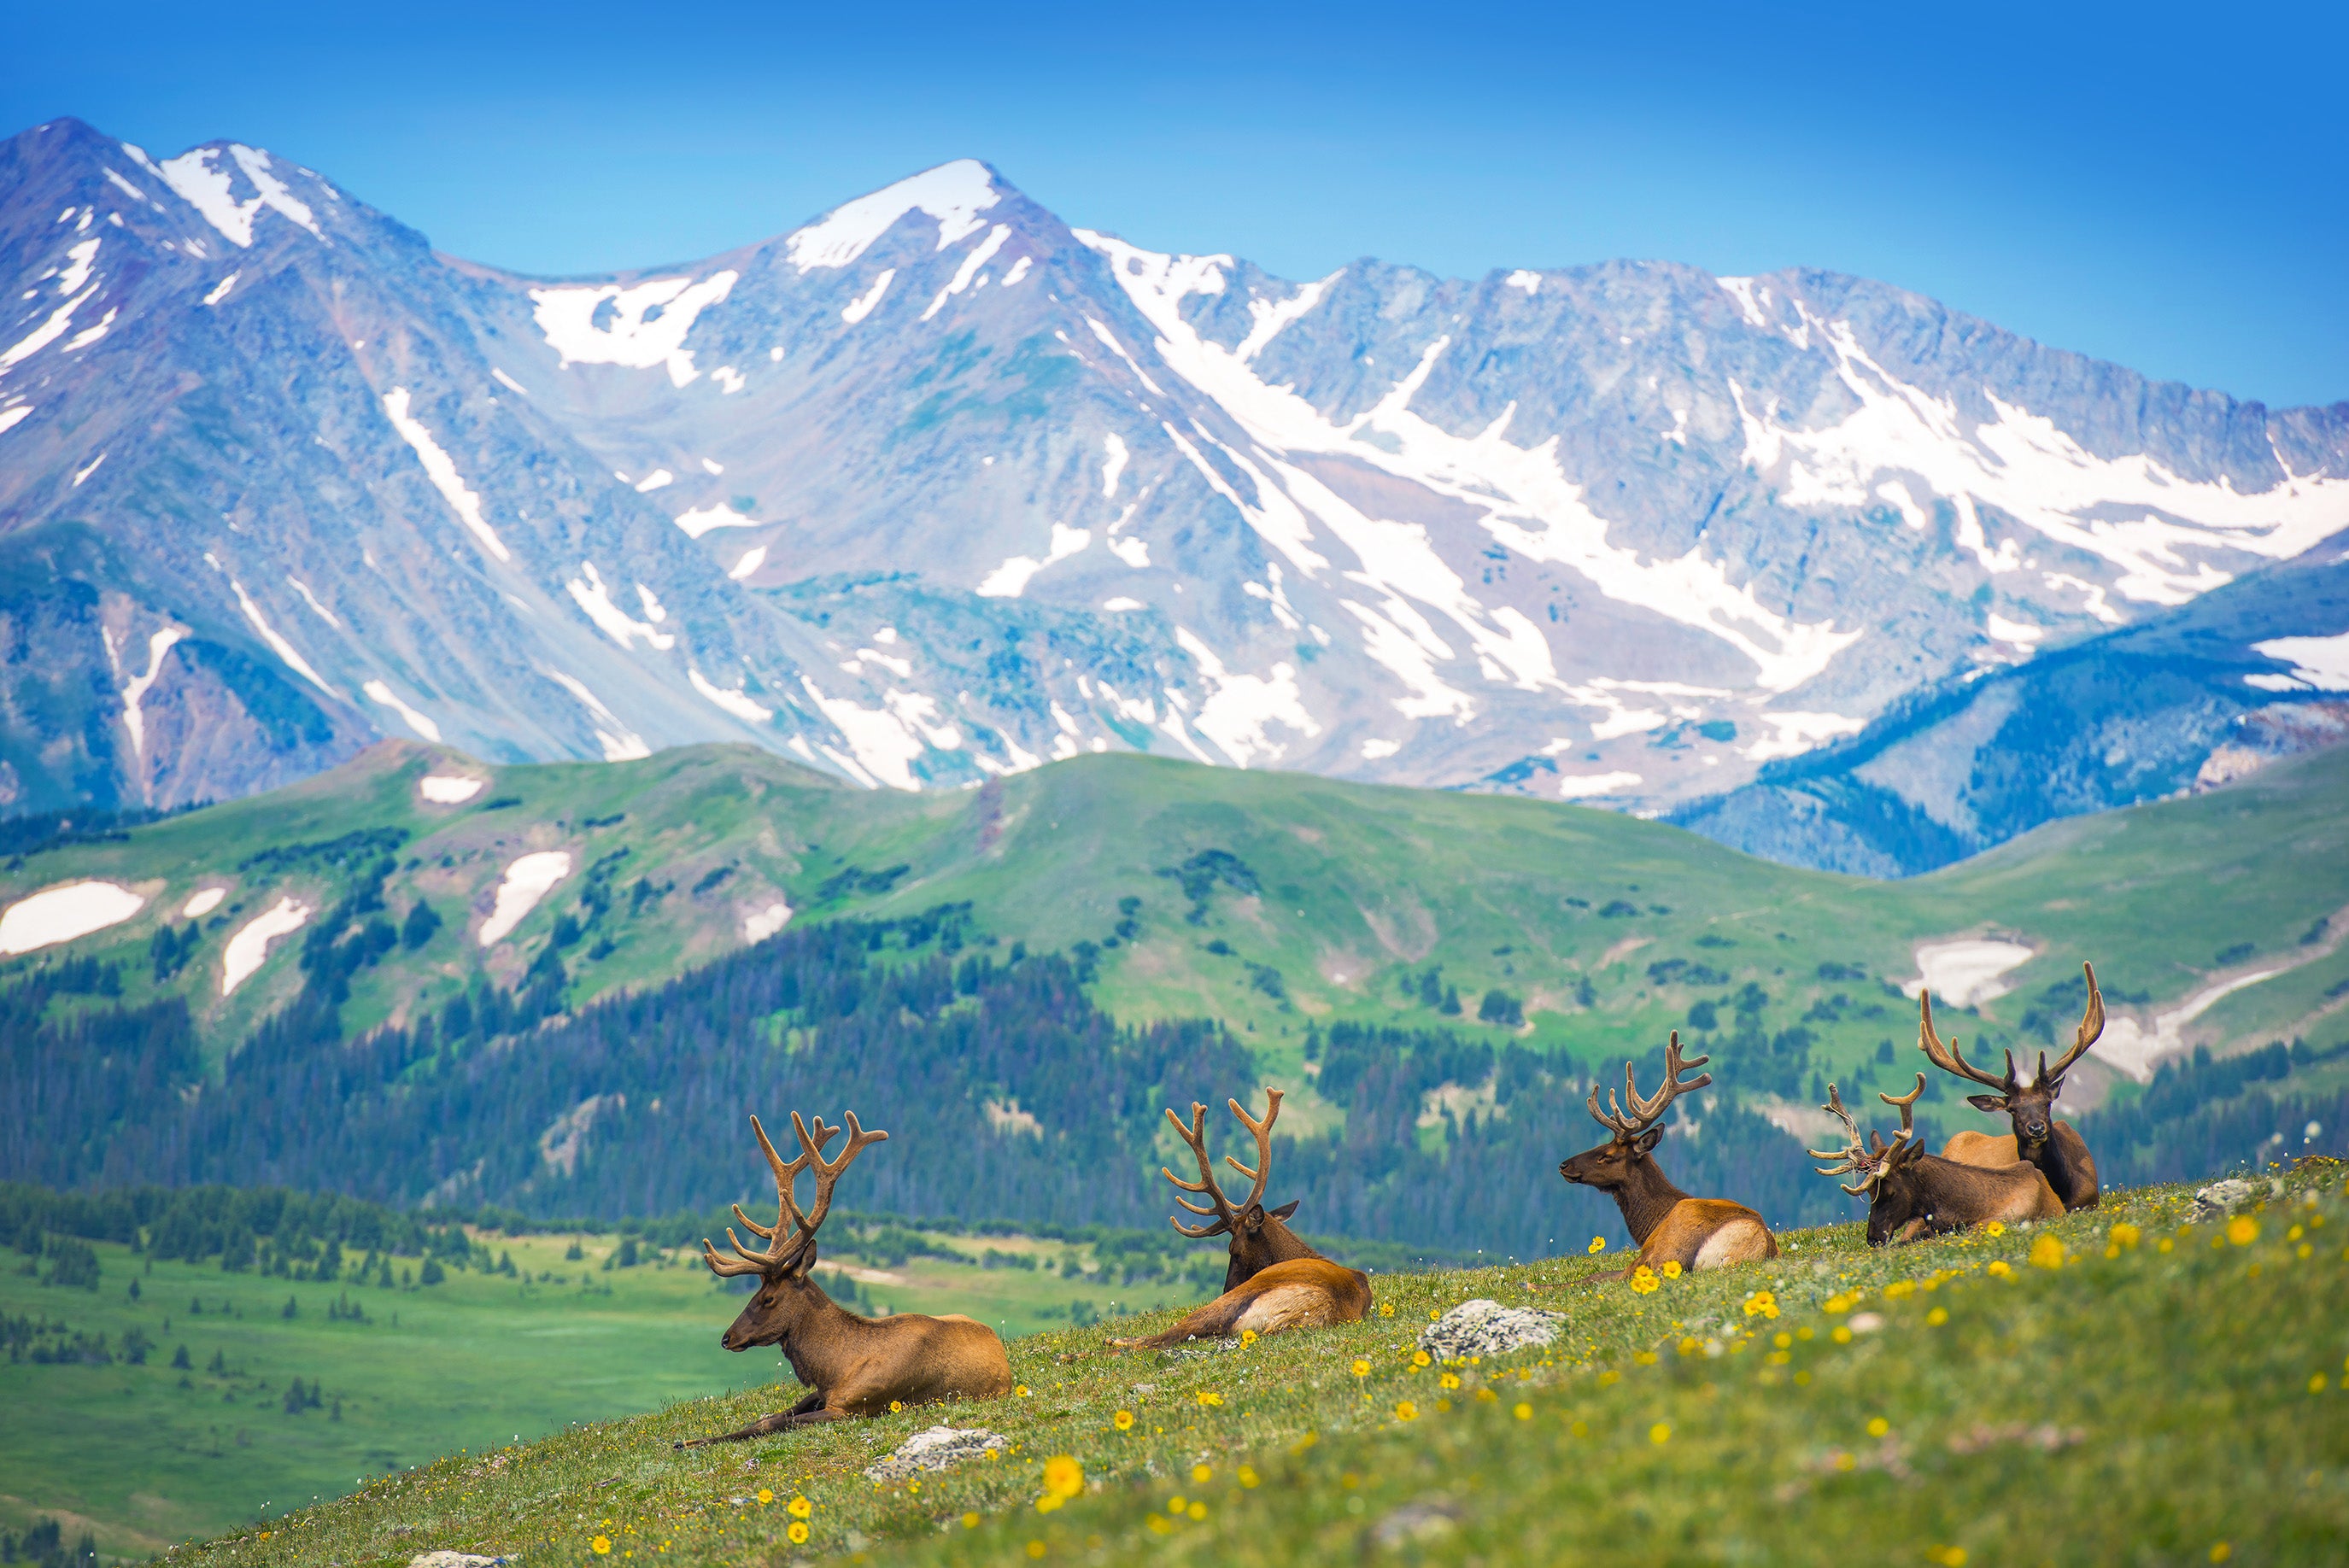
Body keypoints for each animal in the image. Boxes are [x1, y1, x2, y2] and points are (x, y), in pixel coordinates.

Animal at [677, 1103, 1015, 1446]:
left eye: (768, 1298)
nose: (727, 1338)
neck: (836, 1367)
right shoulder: (821, 1393)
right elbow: (768, 1418)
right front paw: (685, 1442)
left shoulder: (851, 1407)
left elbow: (774, 1423)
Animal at [1560, 1033, 1776, 1277]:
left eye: (1606, 1155)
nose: (1564, 1165)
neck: (1652, 1222)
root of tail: (1759, 1245)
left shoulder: (1644, 1255)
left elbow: (1594, 1277)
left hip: (1668, 1250)